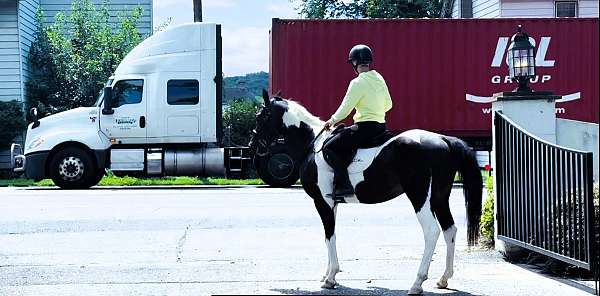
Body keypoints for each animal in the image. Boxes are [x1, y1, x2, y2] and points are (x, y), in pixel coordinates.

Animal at [248, 91, 482, 294]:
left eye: (260, 116)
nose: (252, 146)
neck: (313, 146)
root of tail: (443, 140)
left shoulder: (322, 202)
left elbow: (329, 235)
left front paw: (330, 278)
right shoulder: (331, 203)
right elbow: (329, 235)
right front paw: (327, 275)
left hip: (420, 197)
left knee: (432, 231)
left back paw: (417, 283)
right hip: (440, 197)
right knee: (450, 230)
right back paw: (443, 279)